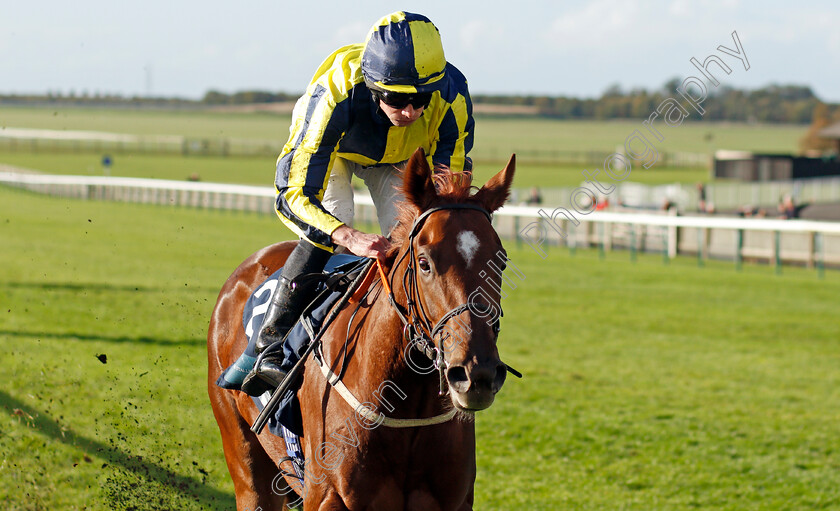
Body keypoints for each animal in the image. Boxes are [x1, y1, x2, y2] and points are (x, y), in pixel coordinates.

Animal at [207, 146, 516, 510]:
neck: (404, 407)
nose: (476, 374)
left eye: (501, 260)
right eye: (424, 262)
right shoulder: (325, 498)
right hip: (244, 458)